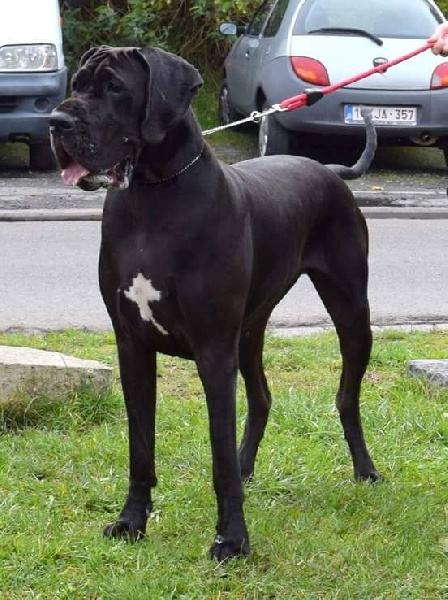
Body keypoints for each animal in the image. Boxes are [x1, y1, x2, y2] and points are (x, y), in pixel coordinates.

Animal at [50, 46, 380, 560]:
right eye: (79, 83)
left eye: (115, 87)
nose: (57, 121)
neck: (152, 195)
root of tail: (327, 169)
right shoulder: (132, 346)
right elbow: (140, 446)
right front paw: (131, 522)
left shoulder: (212, 351)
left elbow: (218, 453)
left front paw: (232, 539)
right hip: (249, 330)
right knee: (262, 397)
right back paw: (249, 465)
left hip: (350, 311)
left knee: (347, 396)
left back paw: (364, 470)